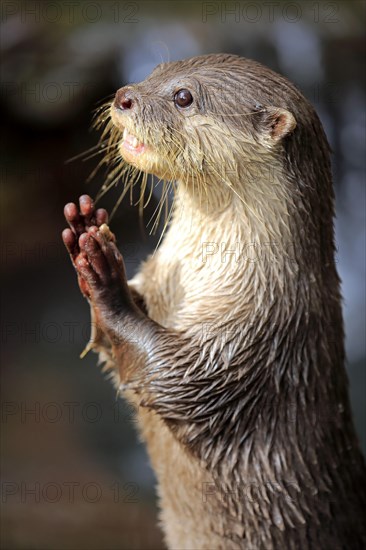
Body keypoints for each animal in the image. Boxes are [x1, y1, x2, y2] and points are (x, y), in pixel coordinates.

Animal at [61, 57, 364, 550]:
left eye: (184, 96)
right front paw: (85, 233)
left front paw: (106, 279)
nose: (125, 96)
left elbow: (178, 379)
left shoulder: (250, 334)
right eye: (155, 71)